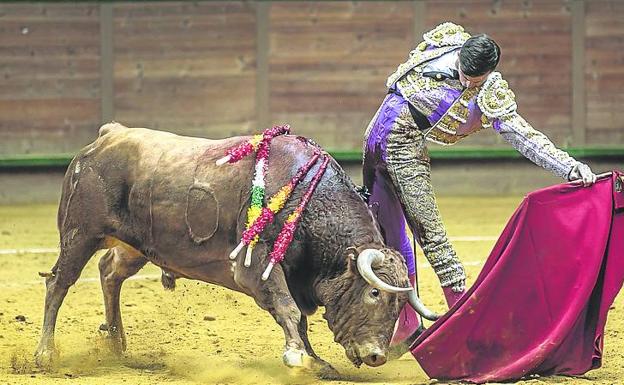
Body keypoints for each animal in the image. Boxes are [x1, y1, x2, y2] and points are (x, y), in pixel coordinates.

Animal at [33, 124, 434, 376]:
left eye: (399, 302)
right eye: (373, 293)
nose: (377, 355)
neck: (308, 198)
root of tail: (108, 136)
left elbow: (300, 319)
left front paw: (316, 361)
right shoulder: (256, 267)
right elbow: (288, 309)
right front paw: (297, 357)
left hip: (135, 247)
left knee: (109, 272)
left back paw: (116, 343)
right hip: (80, 233)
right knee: (59, 283)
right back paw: (45, 355)